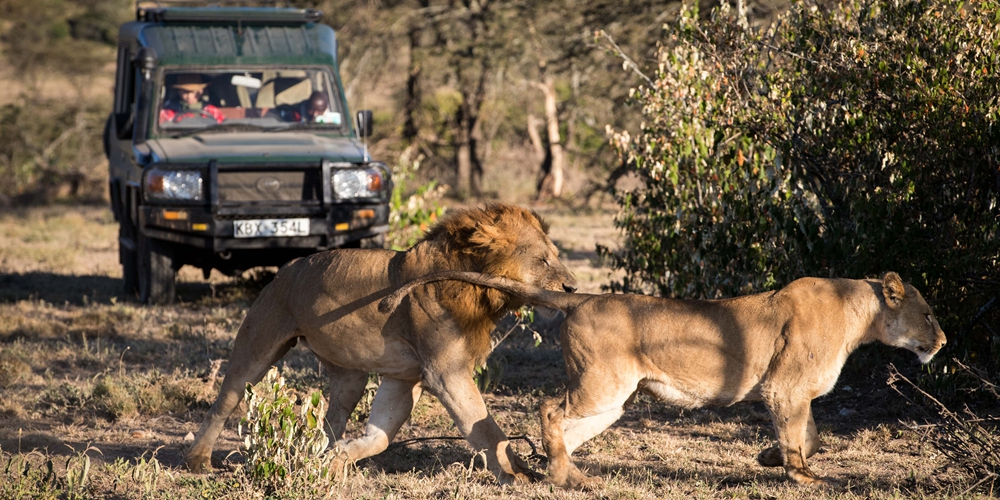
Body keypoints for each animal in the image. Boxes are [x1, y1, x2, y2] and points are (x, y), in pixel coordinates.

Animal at [186, 205, 580, 482]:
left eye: (556, 255)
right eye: (543, 260)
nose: (574, 287)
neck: (478, 290)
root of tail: (287, 266)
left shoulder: (404, 378)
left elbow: (381, 437)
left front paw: (338, 458)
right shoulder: (444, 373)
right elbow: (484, 427)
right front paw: (517, 477)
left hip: (351, 376)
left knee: (332, 417)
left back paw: (316, 457)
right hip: (257, 347)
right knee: (224, 402)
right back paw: (198, 461)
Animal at [378, 272, 948, 486]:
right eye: (927, 314)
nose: (942, 342)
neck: (860, 313)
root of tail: (582, 297)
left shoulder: (791, 393)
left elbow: (810, 434)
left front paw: (771, 458)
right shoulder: (784, 387)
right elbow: (801, 436)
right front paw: (801, 476)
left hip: (614, 400)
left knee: (566, 427)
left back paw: (568, 473)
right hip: (602, 384)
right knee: (548, 408)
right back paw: (563, 477)